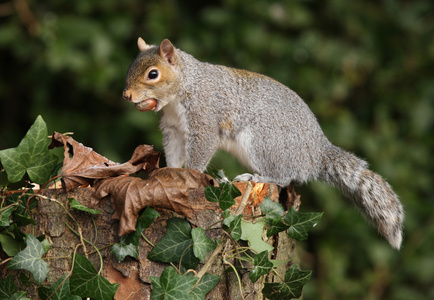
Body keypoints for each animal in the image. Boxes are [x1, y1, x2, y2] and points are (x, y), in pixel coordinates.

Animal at [122, 38, 404, 248]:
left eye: (153, 74)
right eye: (130, 67)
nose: (126, 95)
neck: (184, 86)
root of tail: (316, 153)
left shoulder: (204, 119)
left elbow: (200, 151)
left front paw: (190, 175)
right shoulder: (173, 129)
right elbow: (173, 154)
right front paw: (167, 171)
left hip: (264, 141)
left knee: (282, 177)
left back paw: (253, 177)